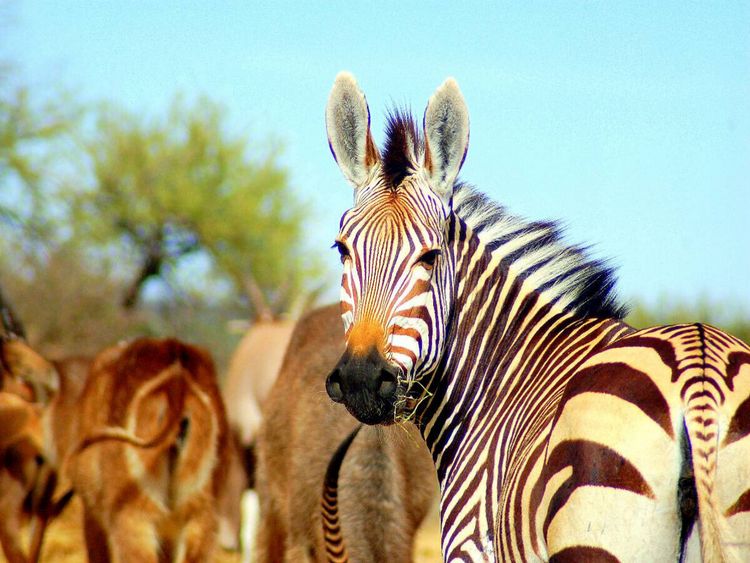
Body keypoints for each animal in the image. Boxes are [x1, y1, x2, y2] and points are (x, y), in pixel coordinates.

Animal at [323, 72, 750, 562]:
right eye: (342, 250)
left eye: (430, 257)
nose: (360, 379)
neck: (497, 382)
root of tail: (699, 372)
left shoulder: (470, 547)